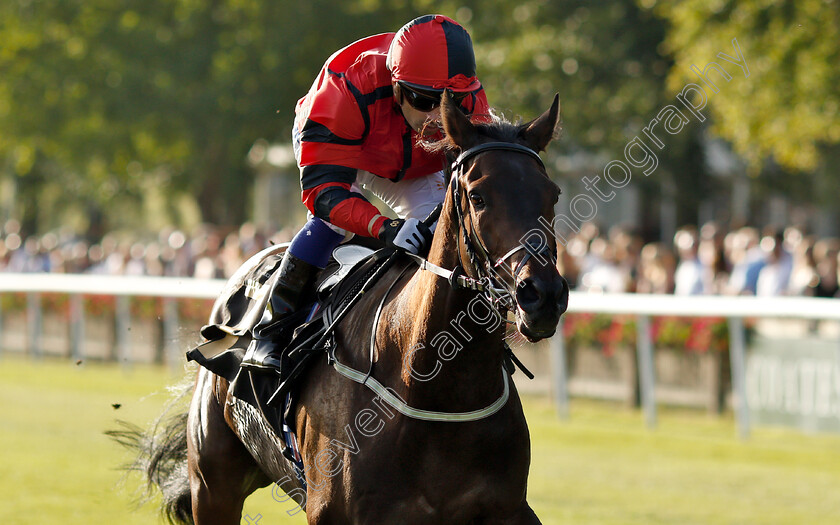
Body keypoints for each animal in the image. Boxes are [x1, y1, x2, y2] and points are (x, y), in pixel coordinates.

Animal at [118, 92, 572, 520]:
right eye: (478, 196)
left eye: (553, 194)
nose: (543, 295)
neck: (437, 386)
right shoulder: (332, 510)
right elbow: (325, 190)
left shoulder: (507, 509)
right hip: (213, 485)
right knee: (326, 212)